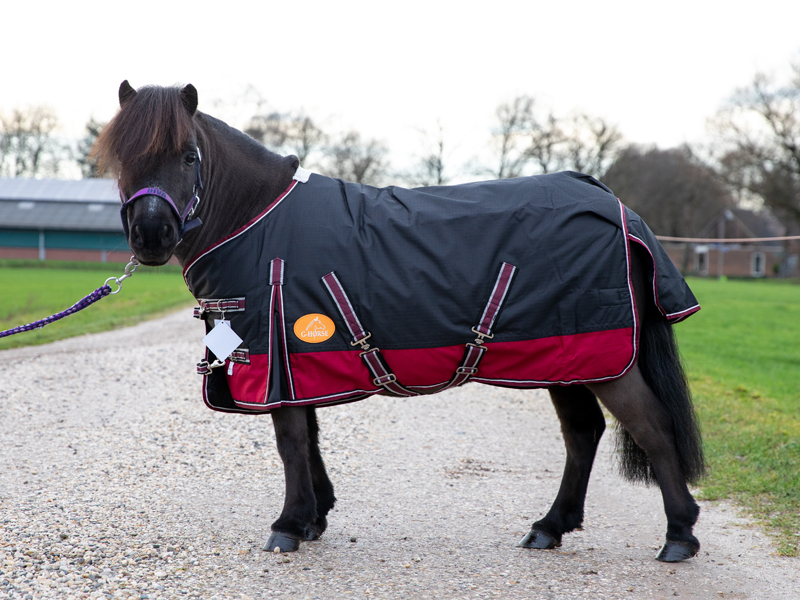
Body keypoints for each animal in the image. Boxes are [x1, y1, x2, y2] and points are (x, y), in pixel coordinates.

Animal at [94, 83, 708, 564]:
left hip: (604, 359)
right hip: (568, 356)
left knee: (651, 426)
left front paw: (288, 525)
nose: (150, 236)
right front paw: (315, 516)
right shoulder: (300, 363)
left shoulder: (276, 357)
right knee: (583, 434)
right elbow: (309, 436)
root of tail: (610, 203)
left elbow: (290, 439)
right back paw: (549, 527)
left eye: (188, 156)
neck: (259, 219)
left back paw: (679, 534)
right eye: (122, 157)